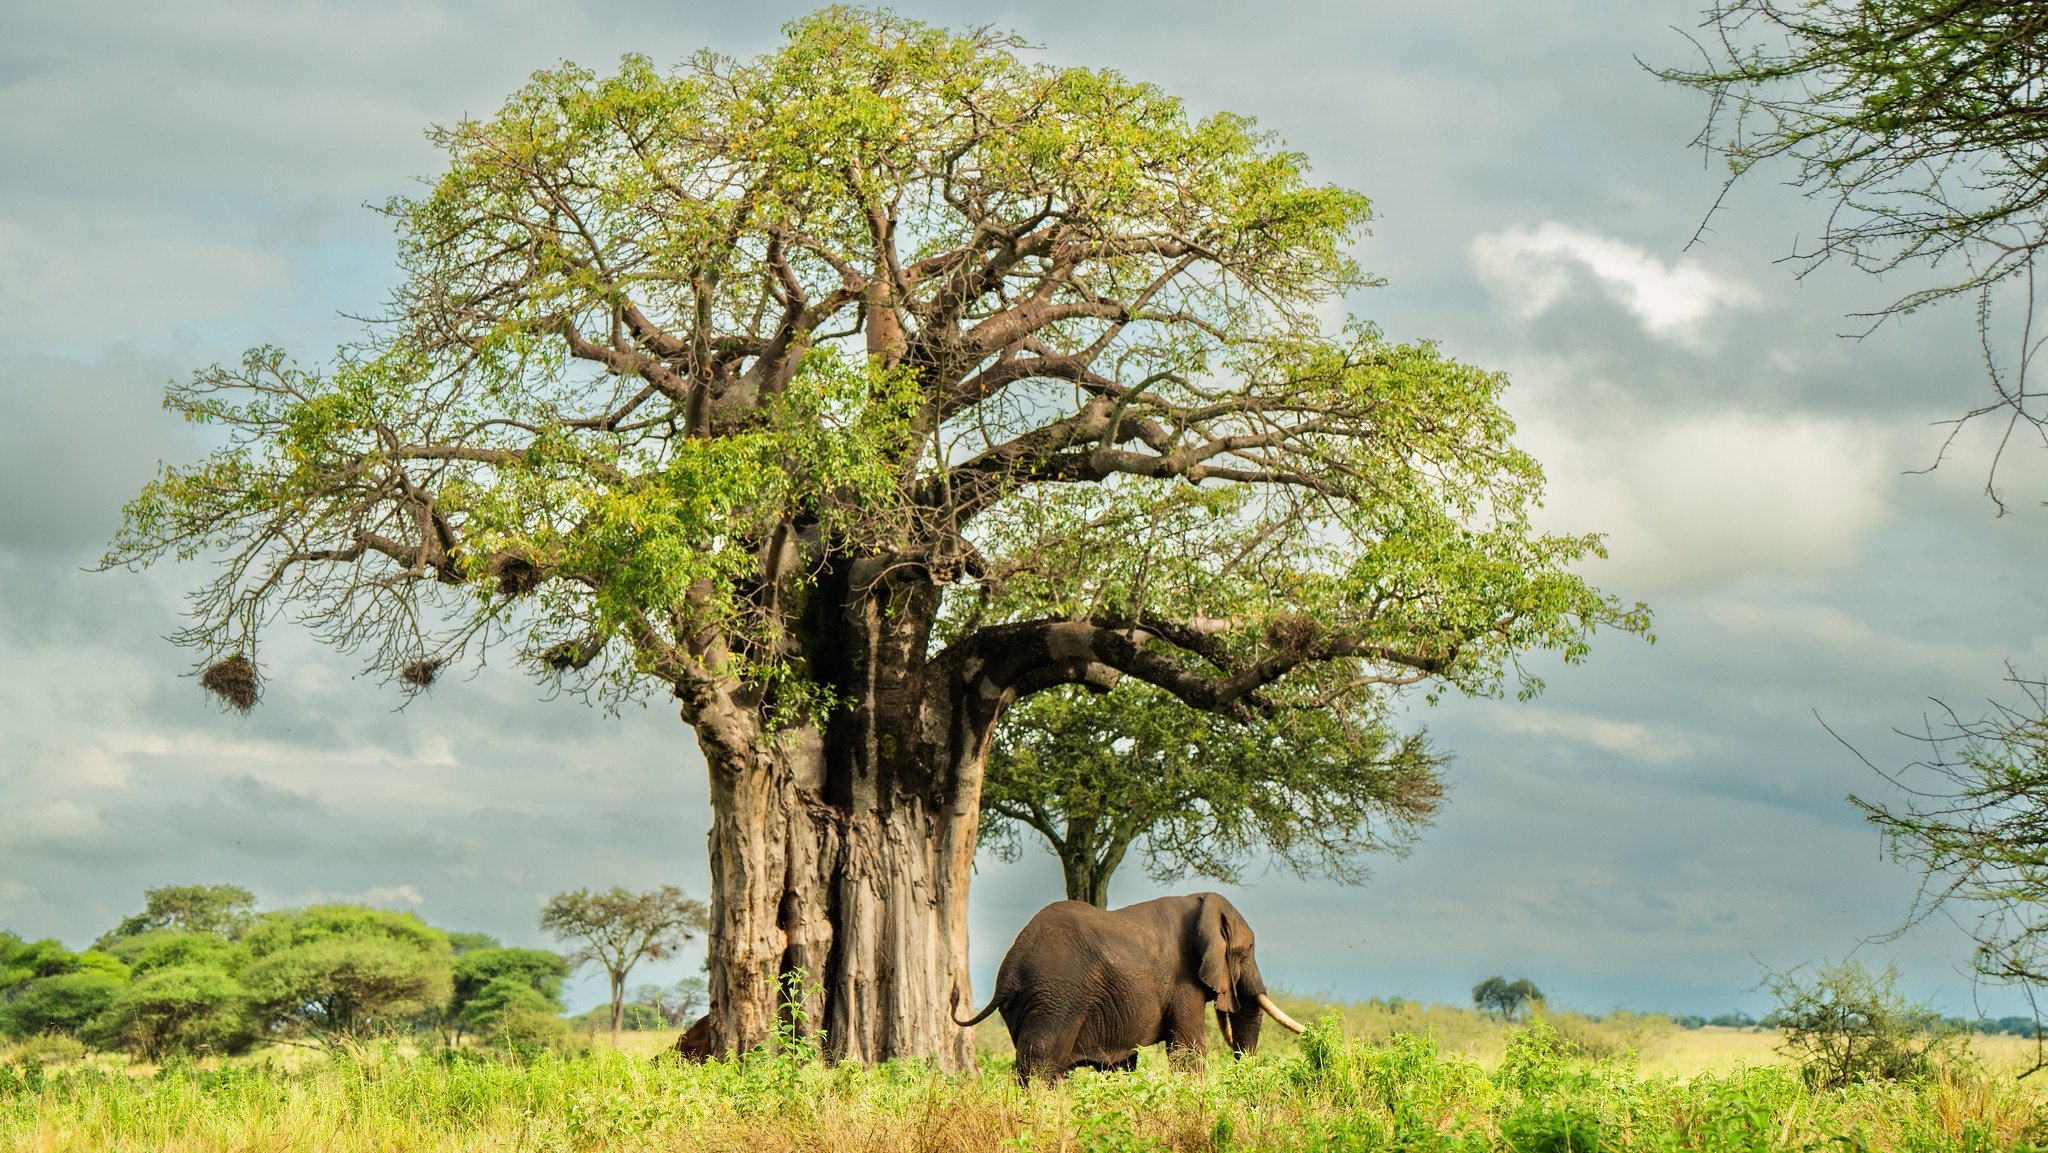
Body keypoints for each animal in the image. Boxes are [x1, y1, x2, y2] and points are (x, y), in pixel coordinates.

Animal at [950, 892, 1302, 1081]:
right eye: (1247, 951)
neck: (1200, 902)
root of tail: (1007, 974)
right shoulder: (1182, 981)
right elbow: (1188, 1048)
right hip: (1056, 999)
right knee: (1042, 1064)